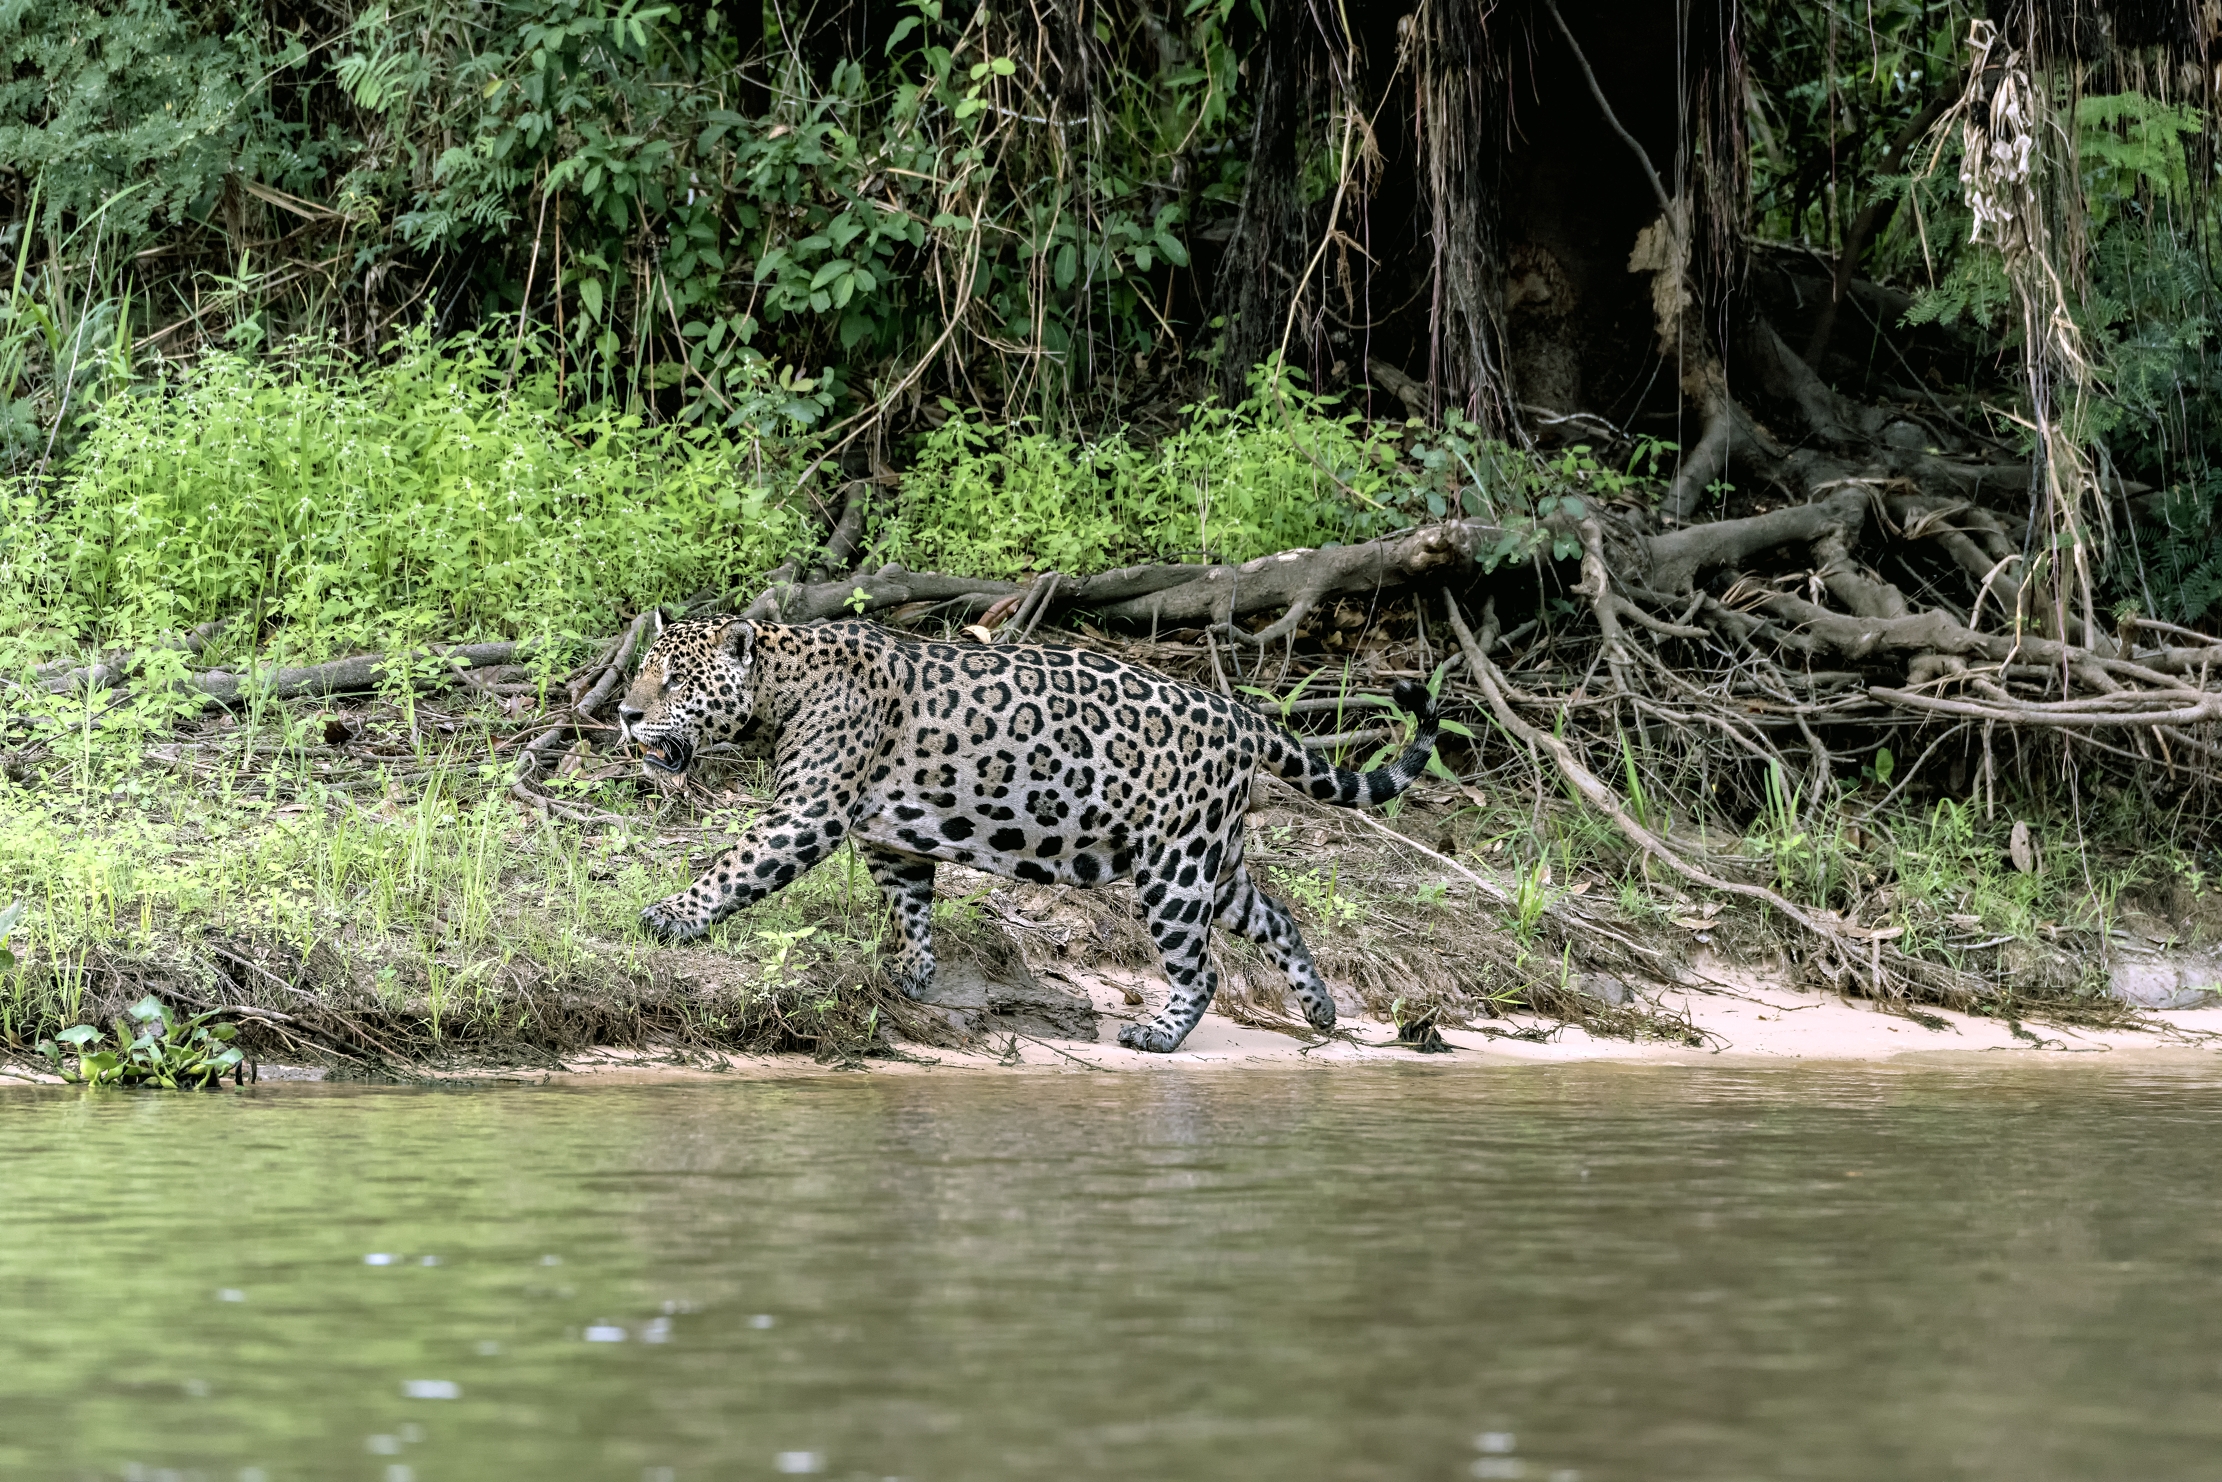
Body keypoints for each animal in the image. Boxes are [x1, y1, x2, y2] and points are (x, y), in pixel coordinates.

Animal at [616, 617, 1441, 1053]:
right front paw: (915, 968)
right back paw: (1320, 1008)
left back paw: (1159, 1035)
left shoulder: (806, 813)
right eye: (640, 673)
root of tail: (1242, 714)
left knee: (1200, 967)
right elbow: (909, 901)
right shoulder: (889, 836)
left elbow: (735, 867)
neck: (780, 687)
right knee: (1272, 914)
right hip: (1207, 851)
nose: (623, 713)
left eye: (676, 681)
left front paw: (670, 916)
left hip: (1173, 865)